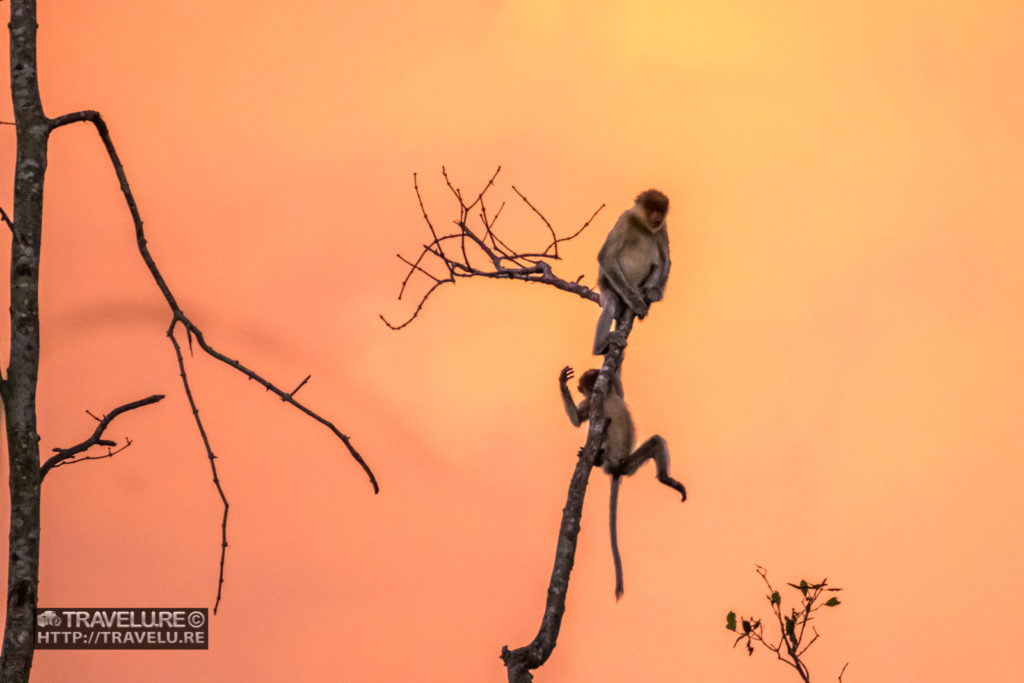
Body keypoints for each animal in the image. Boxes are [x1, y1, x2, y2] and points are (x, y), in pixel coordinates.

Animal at [559, 365, 686, 599]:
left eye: (582, 385)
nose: (579, 389)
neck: (606, 396)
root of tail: (616, 470)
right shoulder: (594, 403)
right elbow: (577, 421)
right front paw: (564, 382)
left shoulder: (601, 398)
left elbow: (616, 391)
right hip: (620, 461)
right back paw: (598, 459)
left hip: (628, 464)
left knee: (655, 441)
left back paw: (666, 479)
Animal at [593, 189, 671, 355]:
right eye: (651, 209)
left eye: (660, 211)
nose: (658, 218)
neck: (642, 225)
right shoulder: (625, 219)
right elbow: (605, 256)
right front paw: (635, 302)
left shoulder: (662, 227)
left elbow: (665, 261)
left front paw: (656, 293)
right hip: (606, 287)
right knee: (611, 301)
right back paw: (600, 347)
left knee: (657, 265)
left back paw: (646, 291)